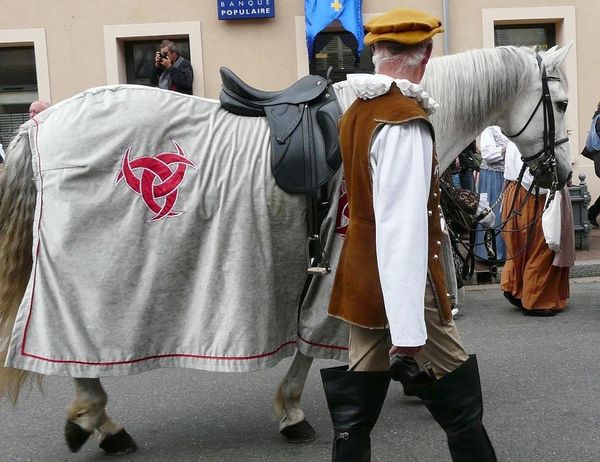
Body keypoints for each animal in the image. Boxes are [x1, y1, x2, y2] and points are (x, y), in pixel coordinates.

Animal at [0, 44, 572, 454]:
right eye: (563, 103)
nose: (561, 174)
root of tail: (39, 124)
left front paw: (409, 372)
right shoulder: (343, 263)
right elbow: (316, 344)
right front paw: (294, 413)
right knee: (69, 343)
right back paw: (99, 420)